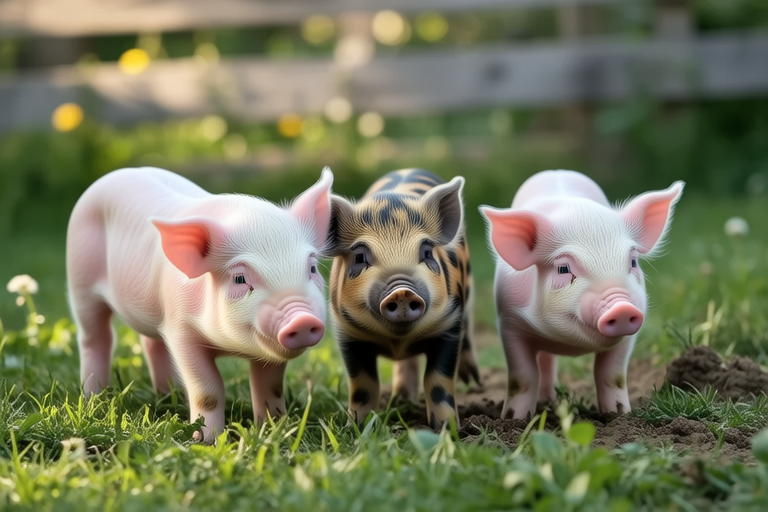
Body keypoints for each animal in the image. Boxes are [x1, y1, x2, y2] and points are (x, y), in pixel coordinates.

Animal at [66, 166, 333, 442]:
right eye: (239, 278)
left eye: (312, 268)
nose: (303, 319)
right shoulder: (180, 330)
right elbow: (208, 389)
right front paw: (207, 440)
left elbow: (270, 387)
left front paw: (274, 430)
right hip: (80, 281)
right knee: (96, 338)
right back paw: (94, 398)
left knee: (152, 344)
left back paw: (168, 397)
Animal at [325, 169, 479, 429]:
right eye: (359, 257)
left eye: (426, 252)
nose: (402, 291)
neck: (398, 340)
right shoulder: (347, 334)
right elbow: (363, 384)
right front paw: (356, 426)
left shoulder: (449, 325)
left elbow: (439, 380)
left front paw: (448, 429)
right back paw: (401, 398)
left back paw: (474, 382)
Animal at [479, 170, 684, 419]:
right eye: (563, 269)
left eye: (633, 262)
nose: (622, 307)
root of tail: (557, 171)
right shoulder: (509, 324)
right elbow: (523, 377)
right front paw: (513, 419)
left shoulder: (628, 338)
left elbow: (612, 375)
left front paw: (618, 415)